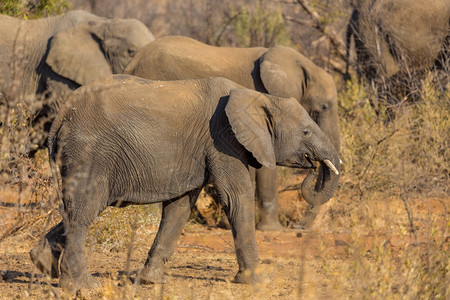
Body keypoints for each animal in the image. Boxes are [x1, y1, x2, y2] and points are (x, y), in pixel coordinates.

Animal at [30, 74, 342, 290]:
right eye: (306, 132)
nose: (314, 165)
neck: (257, 96)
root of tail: (60, 117)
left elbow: (179, 208)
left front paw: (151, 282)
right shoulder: (223, 140)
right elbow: (236, 198)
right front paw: (258, 281)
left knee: (75, 209)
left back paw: (42, 263)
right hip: (90, 152)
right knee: (84, 211)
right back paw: (82, 286)